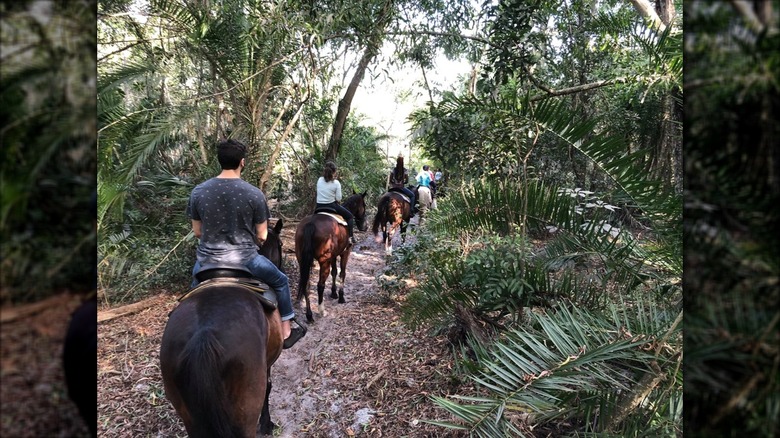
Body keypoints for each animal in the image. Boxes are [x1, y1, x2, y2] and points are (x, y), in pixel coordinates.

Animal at [161, 221, 286, 436]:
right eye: (280, 244)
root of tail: (203, 337)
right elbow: (269, 387)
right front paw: (267, 423)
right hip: (246, 408)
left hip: (189, 415)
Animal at [294, 192, 368, 322]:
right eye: (364, 205)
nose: (365, 227)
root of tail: (310, 224)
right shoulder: (345, 252)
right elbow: (342, 273)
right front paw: (341, 297)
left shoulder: (333, 256)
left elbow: (334, 272)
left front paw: (334, 293)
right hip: (324, 261)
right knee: (320, 285)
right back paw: (321, 310)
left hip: (302, 259)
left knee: (306, 284)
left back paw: (309, 315)